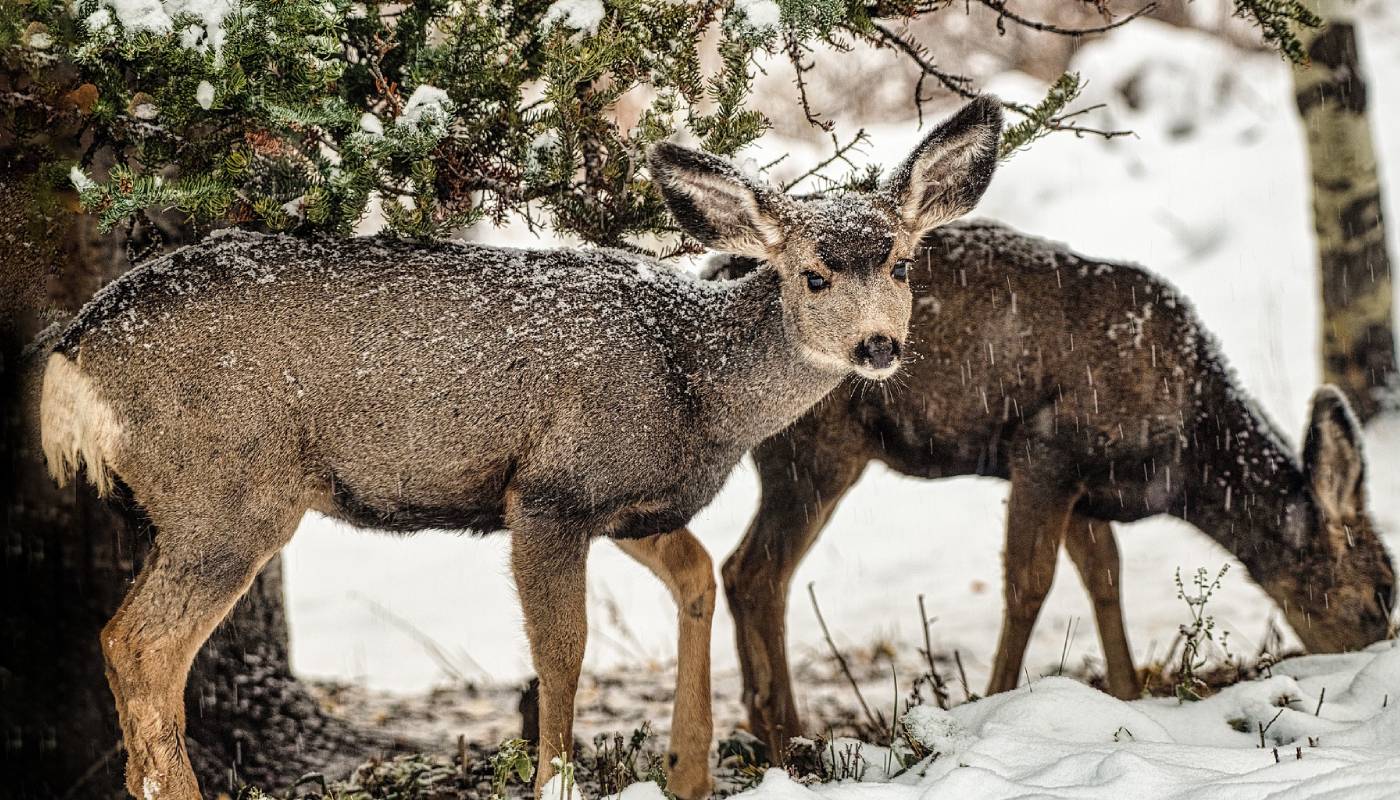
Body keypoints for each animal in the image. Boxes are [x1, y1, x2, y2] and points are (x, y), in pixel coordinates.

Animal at [38, 97, 1002, 795]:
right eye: (814, 275)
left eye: (904, 264)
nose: (878, 345)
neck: (693, 382)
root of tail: (72, 352)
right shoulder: (551, 492)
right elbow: (562, 653)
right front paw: (561, 782)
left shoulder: (629, 502)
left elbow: (697, 578)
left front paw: (688, 773)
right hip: (227, 491)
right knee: (141, 646)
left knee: (128, 643)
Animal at [716, 218, 1394, 756]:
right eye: (1383, 590)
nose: (1372, 662)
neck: (1184, 455)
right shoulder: (1045, 449)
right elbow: (1029, 583)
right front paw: (992, 703)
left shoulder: (1088, 488)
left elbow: (1105, 579)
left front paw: (1129, 696)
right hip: (819, 449)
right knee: (759, 571)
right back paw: (788, 733)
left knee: (735, 567)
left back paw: (760, 724)